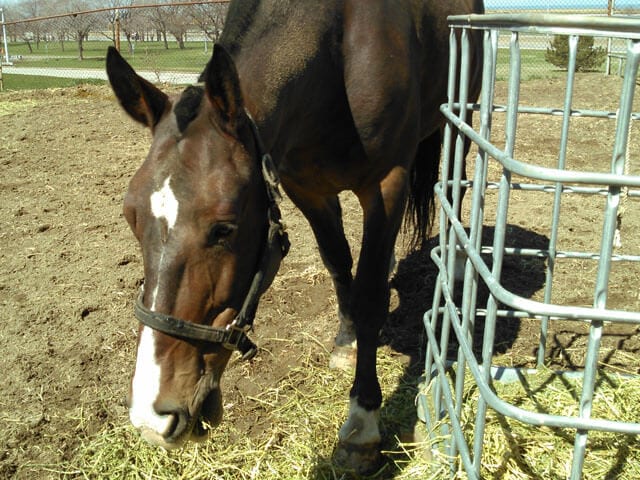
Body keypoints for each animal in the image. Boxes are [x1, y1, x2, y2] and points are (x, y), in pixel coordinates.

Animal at [107, 0, 482, 472]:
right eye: (131, 217)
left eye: (224, 227)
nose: (152, 416)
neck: (338, 54)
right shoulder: (305, 186)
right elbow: (338, 262)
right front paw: (347, 341)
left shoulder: (387, 183)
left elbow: (370, 294)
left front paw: (362, 423)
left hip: (462, 112)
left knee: (459, 179)